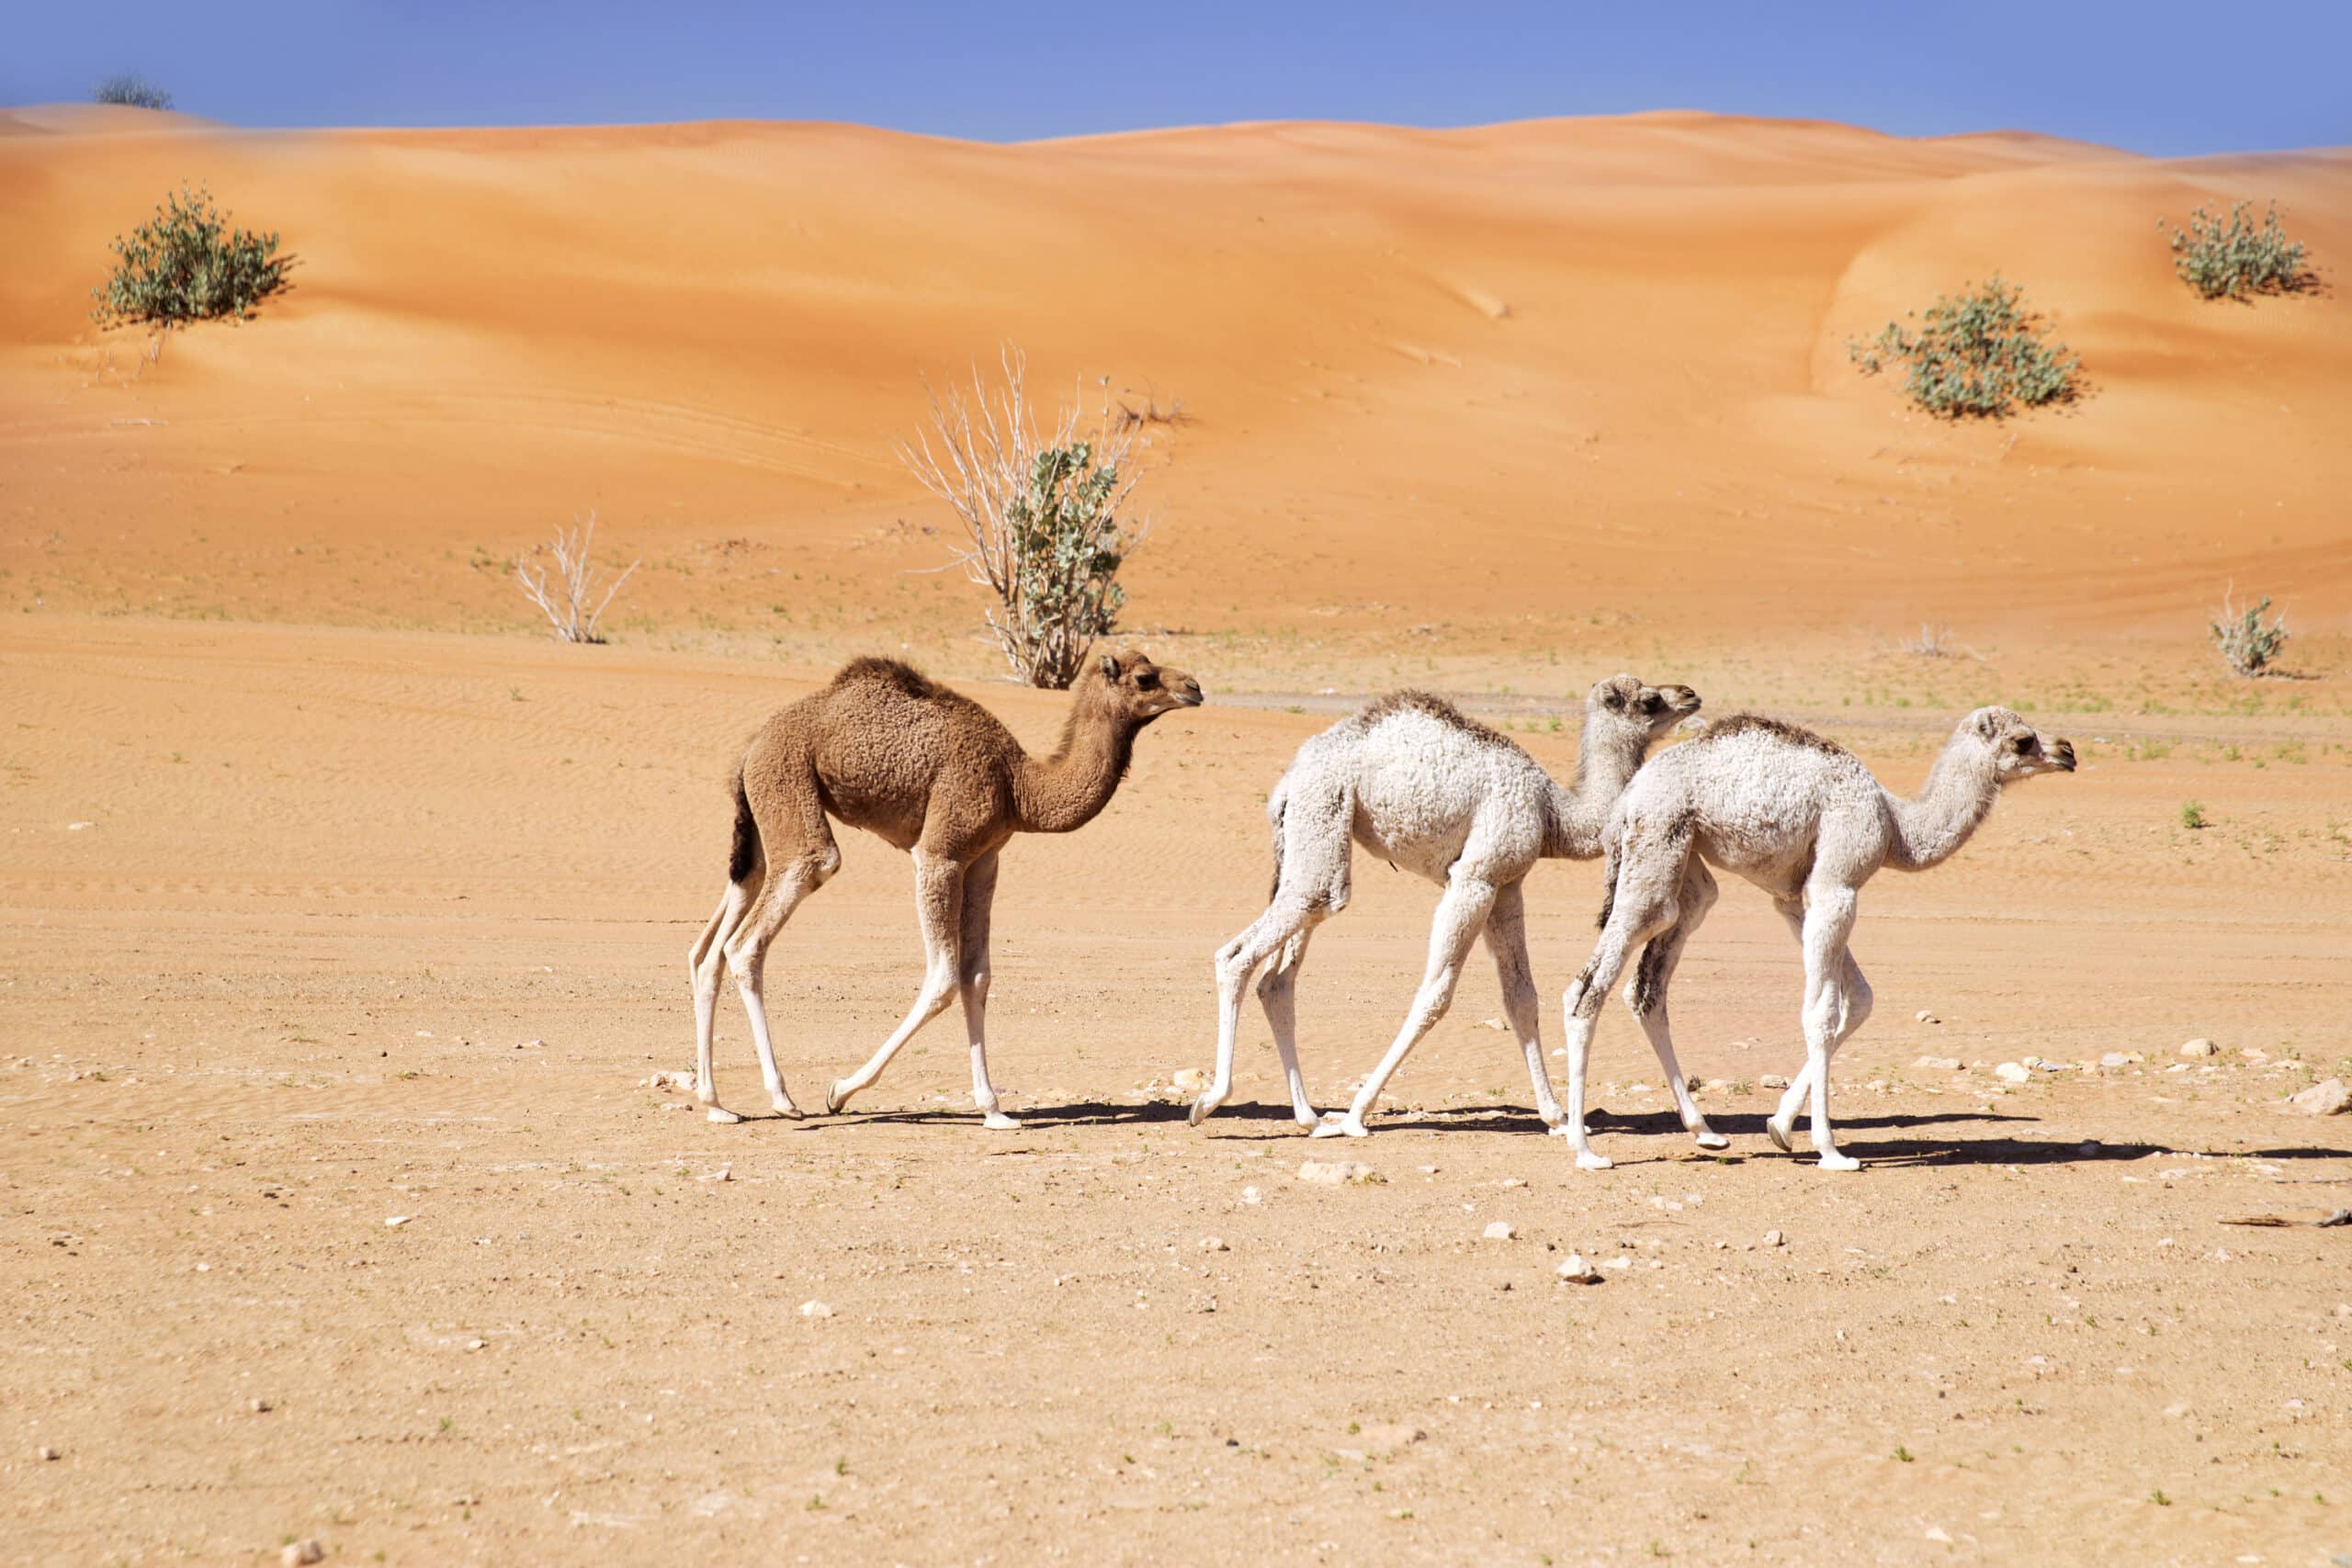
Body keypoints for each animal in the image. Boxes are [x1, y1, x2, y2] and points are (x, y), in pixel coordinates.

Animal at [682, 649, 1194, 1128]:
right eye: (1144, 677)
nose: (1194, 687)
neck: (1018, 787)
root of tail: (752, 746)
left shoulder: (985, 860)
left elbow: (977, 976)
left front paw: (994, 1111)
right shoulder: (940, 854)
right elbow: (943, 979)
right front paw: (841, 1090)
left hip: (760, 820)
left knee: (711, 945)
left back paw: (717, 1104)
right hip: (789, 789)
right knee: (753, 935)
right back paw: (782, 1099)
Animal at [1185, 677, 1702, 1142]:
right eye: (1650, 700)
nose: (1690, 694)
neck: (1554, 814)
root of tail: (1288, 780)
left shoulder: (1506, 884)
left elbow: (1521, 997)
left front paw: (1555, 1116)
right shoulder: (1473, 879)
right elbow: (1435, 994)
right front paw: (1356, 1113)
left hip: (1312, 835)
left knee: (1278, 978)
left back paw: (1309, 1118)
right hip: (1324, 813)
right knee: (1242, 951)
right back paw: (1210, 1101)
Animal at [1561, 705, 2079, 1170]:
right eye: (2023, 740)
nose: (2068, 751)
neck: (1895, 827)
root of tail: (1626, 799)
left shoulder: (1796, 898)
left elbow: (1859, 999)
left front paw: (1780, 1126)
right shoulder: (1839, 883)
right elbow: (1821, 1014)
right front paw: (1830, 1150)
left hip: (1685, 861)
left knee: (1648, 986)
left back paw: (1705, 1132)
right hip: (1656, 843)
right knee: (1587, 988)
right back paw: (1584, 1149)